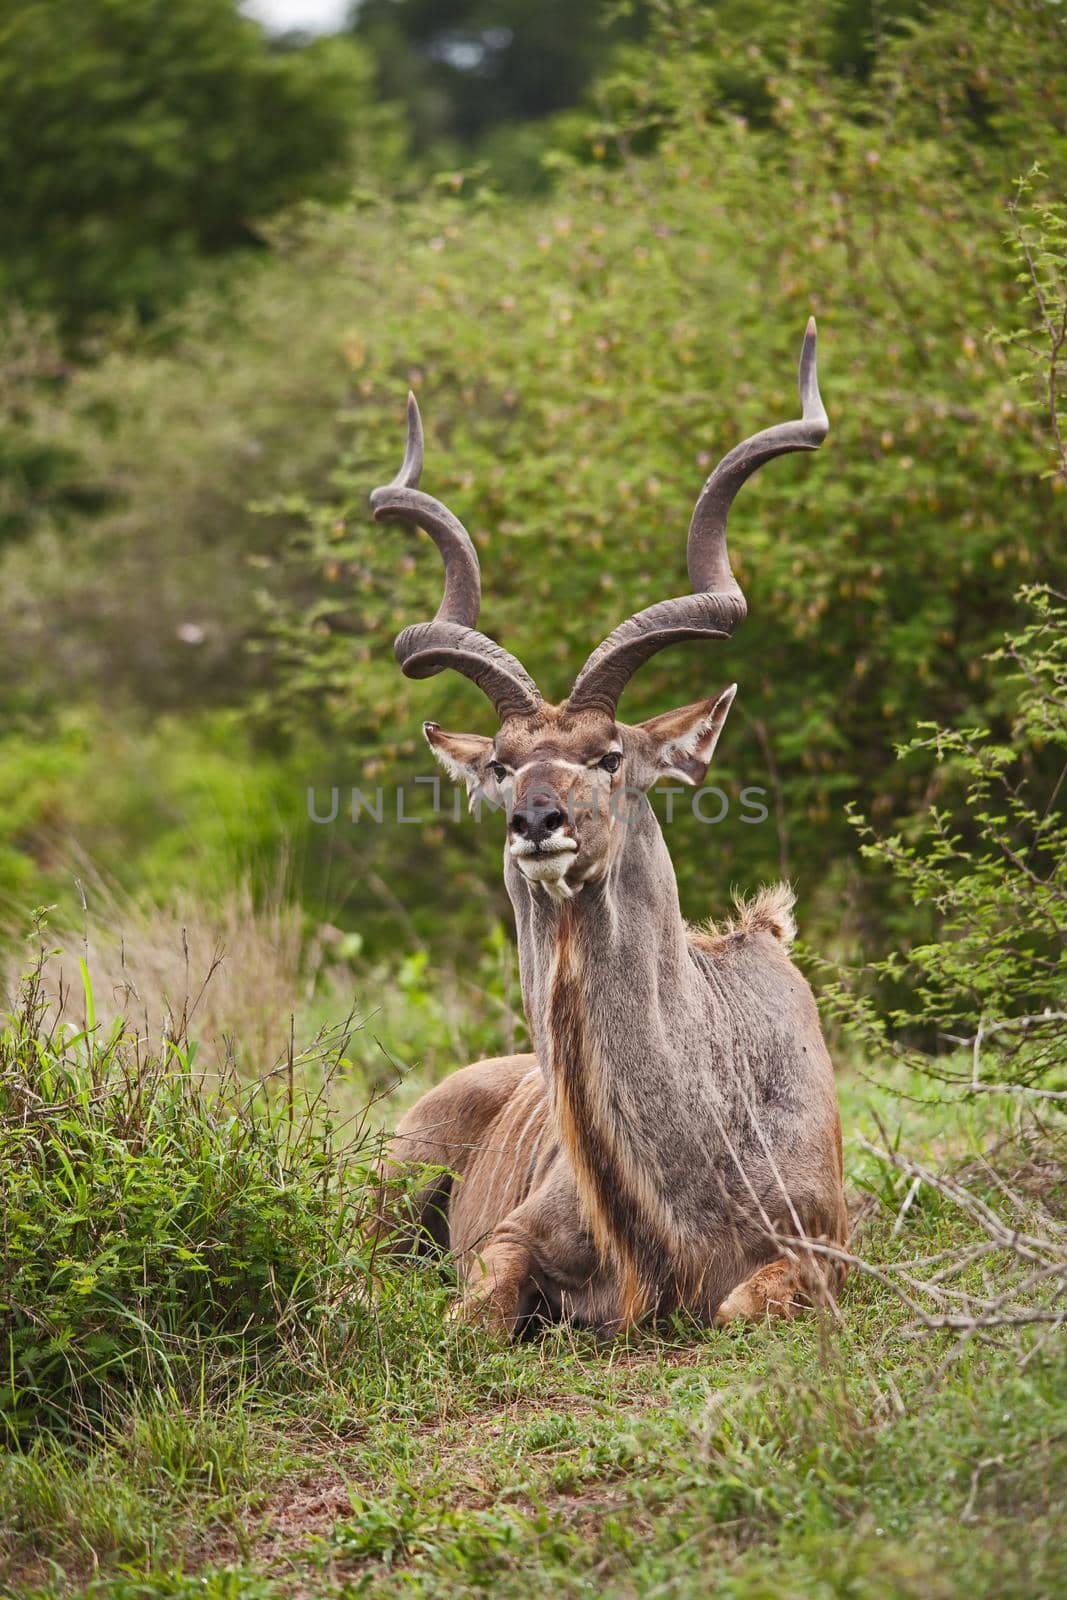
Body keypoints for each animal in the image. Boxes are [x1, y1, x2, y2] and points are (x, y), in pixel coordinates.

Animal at [374, 318, 851, 1331]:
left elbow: (737, 1308)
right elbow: (472, 1317)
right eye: (501, 764)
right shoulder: (509, 1242)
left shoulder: (822, 1256)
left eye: (607, 757)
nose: (536, 821)